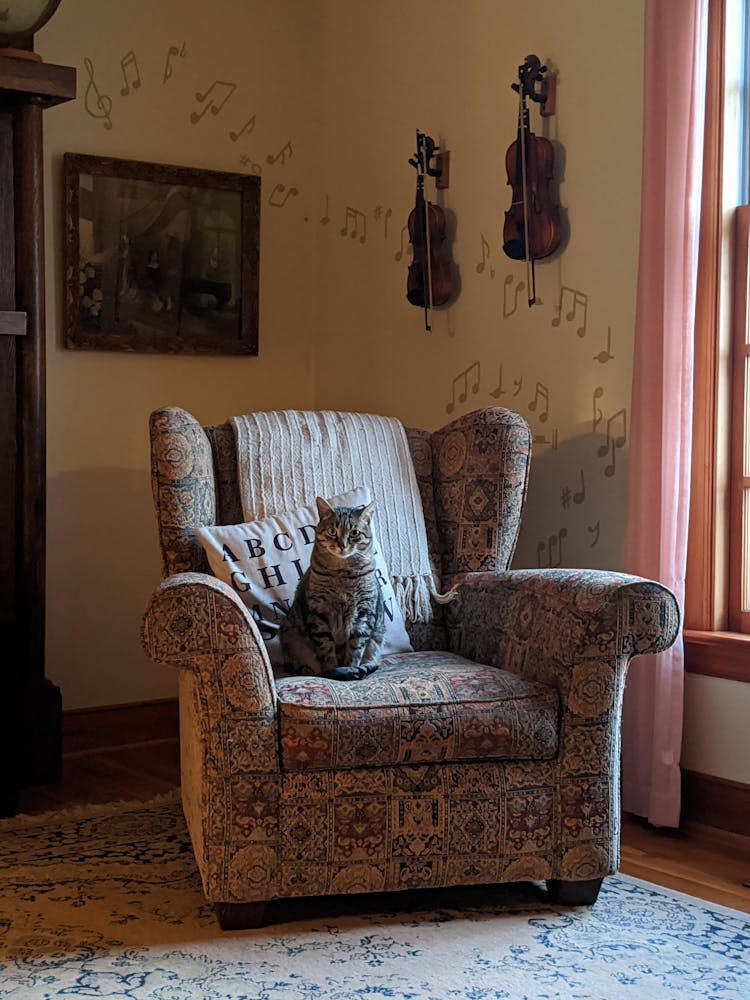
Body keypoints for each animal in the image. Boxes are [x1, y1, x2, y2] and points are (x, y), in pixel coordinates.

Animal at [280, 498, 388, 684]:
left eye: (354, 533)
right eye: (332, 531)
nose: (342, 545)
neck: (342, 573)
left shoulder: (364, 613)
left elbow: (355, 648)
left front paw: (349, 668)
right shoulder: (318, 612)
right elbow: (326, 648)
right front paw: (333, 670)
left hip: (376, 639)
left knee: (371, 660)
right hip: (289, 634)